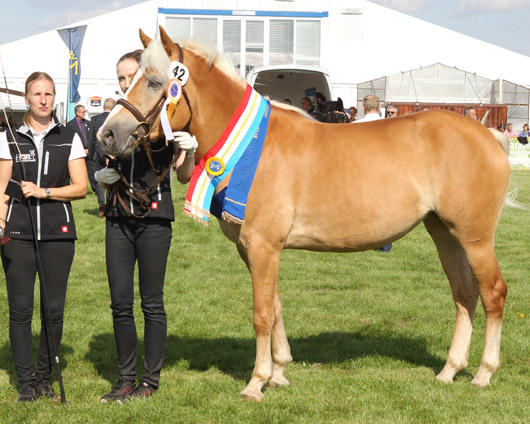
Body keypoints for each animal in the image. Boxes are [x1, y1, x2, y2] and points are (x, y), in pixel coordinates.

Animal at [100, 25, 512, 400]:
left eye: (155, 81)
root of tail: (489, 135)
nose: (107, 134)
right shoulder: (255, 249)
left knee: (492, 293)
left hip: (475, 239)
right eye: (129, 80)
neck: (250, 145)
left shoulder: (263, 246)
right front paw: (279, 372)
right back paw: (449, 370)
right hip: (444, 233)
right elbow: (276, 306)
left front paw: (256, 382)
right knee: (464, 295)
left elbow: (262, 314)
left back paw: (484, 373)